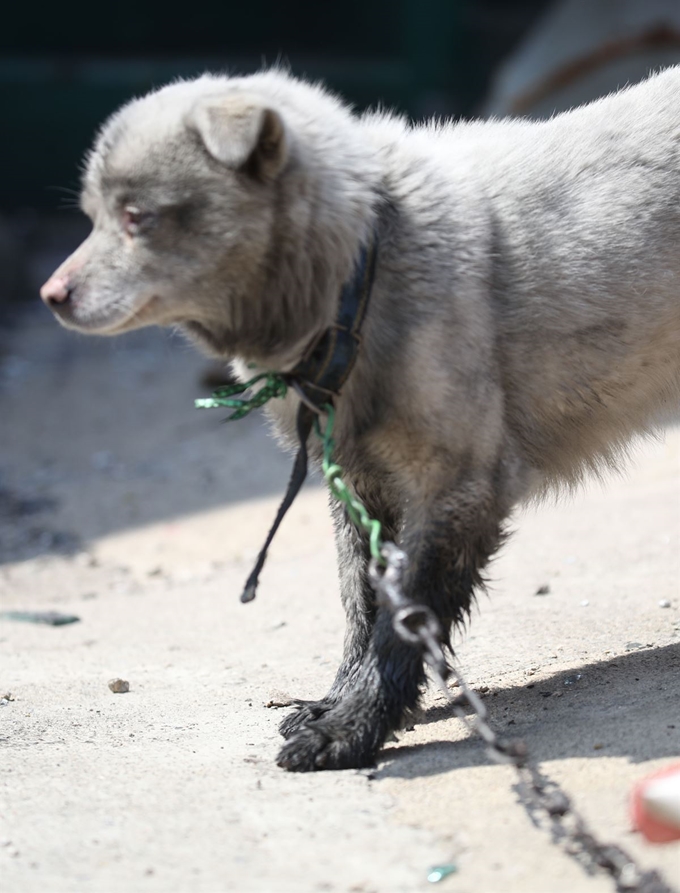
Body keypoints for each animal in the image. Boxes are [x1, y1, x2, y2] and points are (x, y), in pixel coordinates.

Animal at [41, 66, 680, 772]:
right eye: (94, 218)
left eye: (137, 217)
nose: (51, 296)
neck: (366, 263)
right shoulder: (360, 488)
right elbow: (362, 603)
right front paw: (337, 703)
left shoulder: (453, 491)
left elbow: (401, 625)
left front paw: (354, 727)